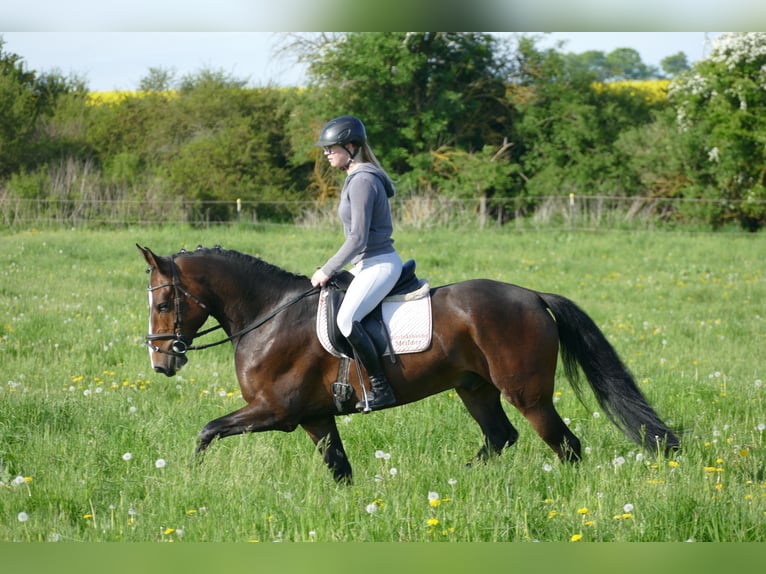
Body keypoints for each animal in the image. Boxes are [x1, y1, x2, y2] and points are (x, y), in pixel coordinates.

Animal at [137, 244, 679, 482]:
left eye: (163, 303)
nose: (161, 362)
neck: (267, 315)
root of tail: (532, 296)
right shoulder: (315, 418)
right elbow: (340, 469)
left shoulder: (277, 411)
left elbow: (206, 431)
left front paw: (191, 479)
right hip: (473, 388)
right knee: (500, 437)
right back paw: (458, 481)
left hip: (526, 393)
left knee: (565, 445)